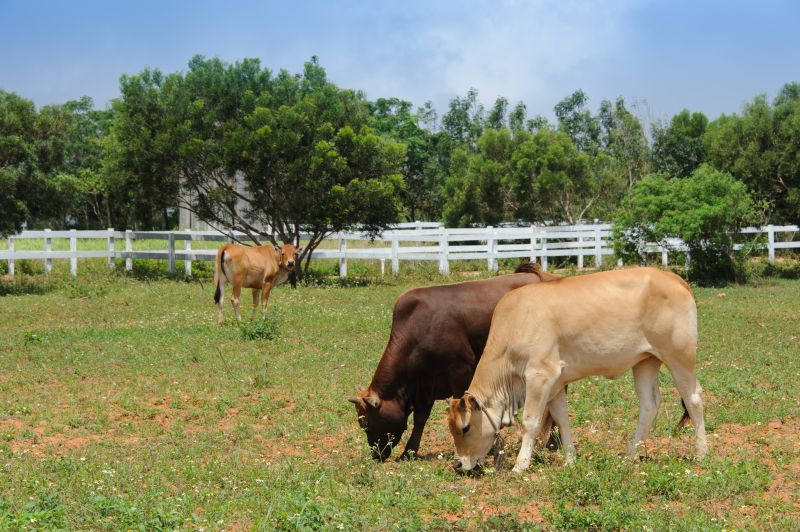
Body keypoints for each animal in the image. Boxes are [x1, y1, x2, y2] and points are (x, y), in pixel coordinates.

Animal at [346, 262, 560, 462]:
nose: (376, 454)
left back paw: (552, 442)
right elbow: (421, 418)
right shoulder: (426, 384)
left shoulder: (461, 371)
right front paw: (409, 451)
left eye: (365, 422)